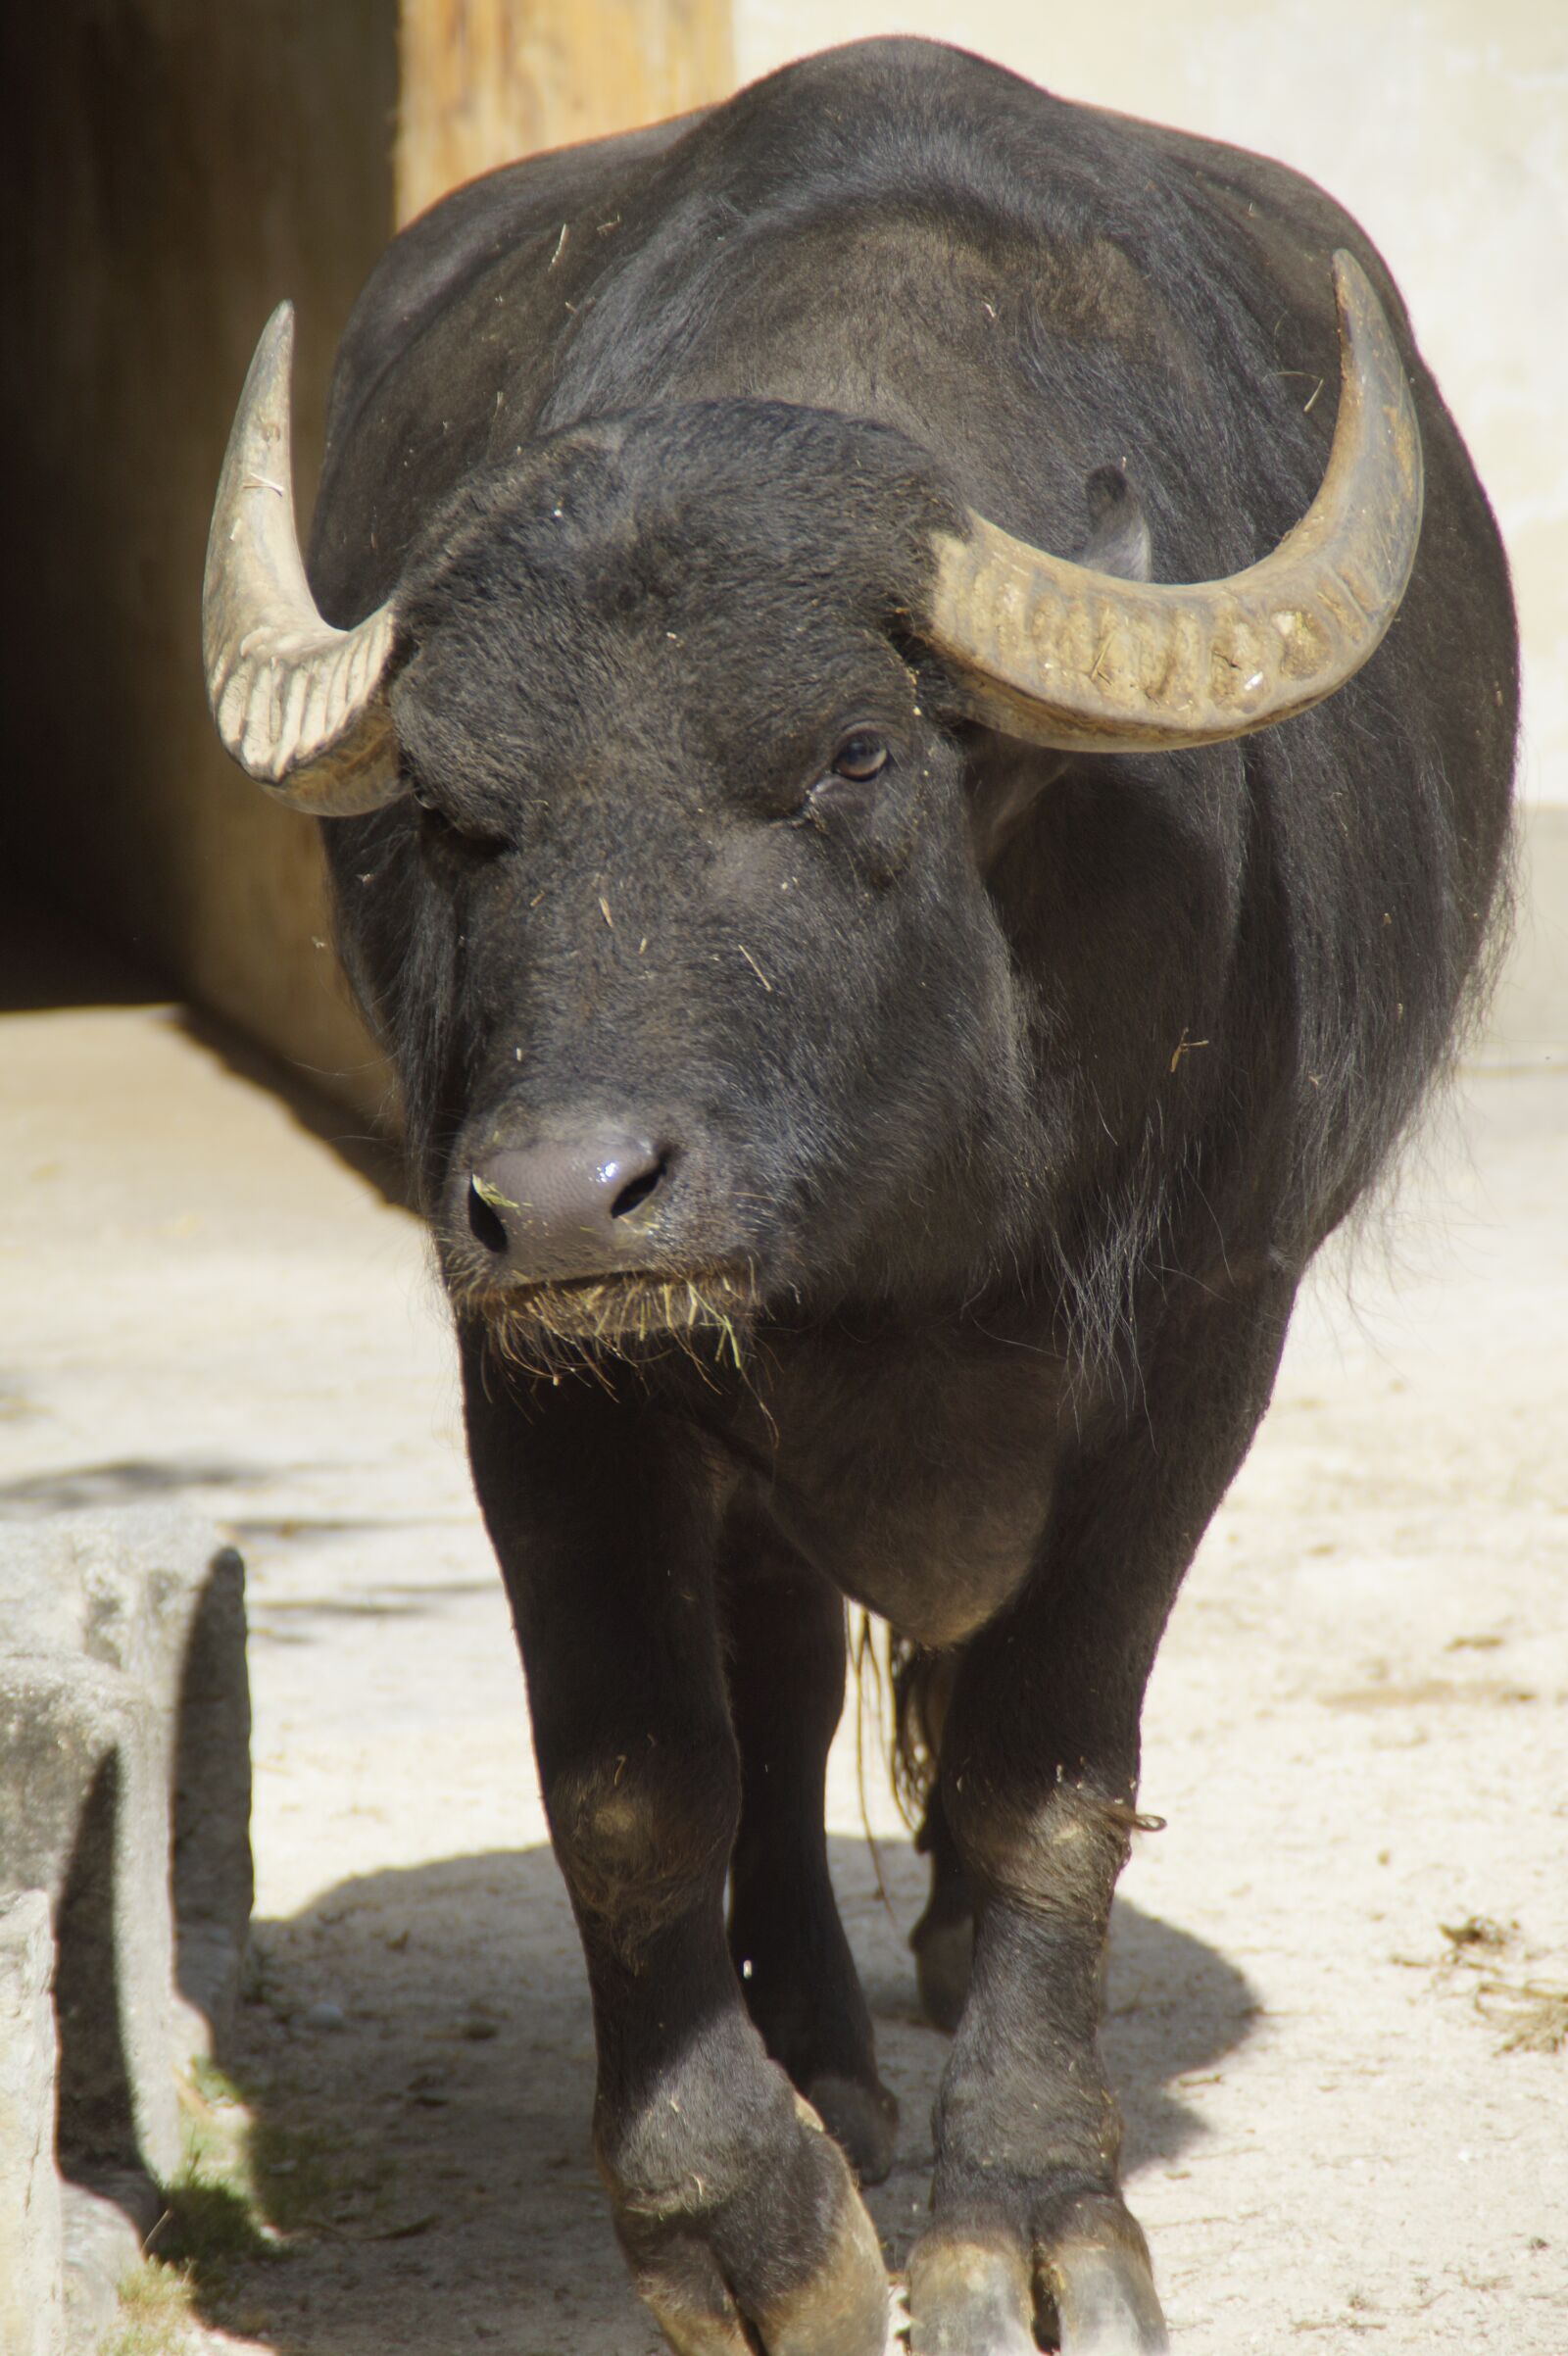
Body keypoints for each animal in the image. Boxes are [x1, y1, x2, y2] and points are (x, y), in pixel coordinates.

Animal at [203, 38, 1515, 2354]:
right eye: (447, 809)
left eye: (849, 753)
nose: (570, 1197)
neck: (908, 1224)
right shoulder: (536, 1362)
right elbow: (638, 1769)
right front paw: (749, 2216)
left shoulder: (1203, 1339)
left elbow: (1044, 1774)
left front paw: (1027, 2209)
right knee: (790, 1681)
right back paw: (819, 2036)